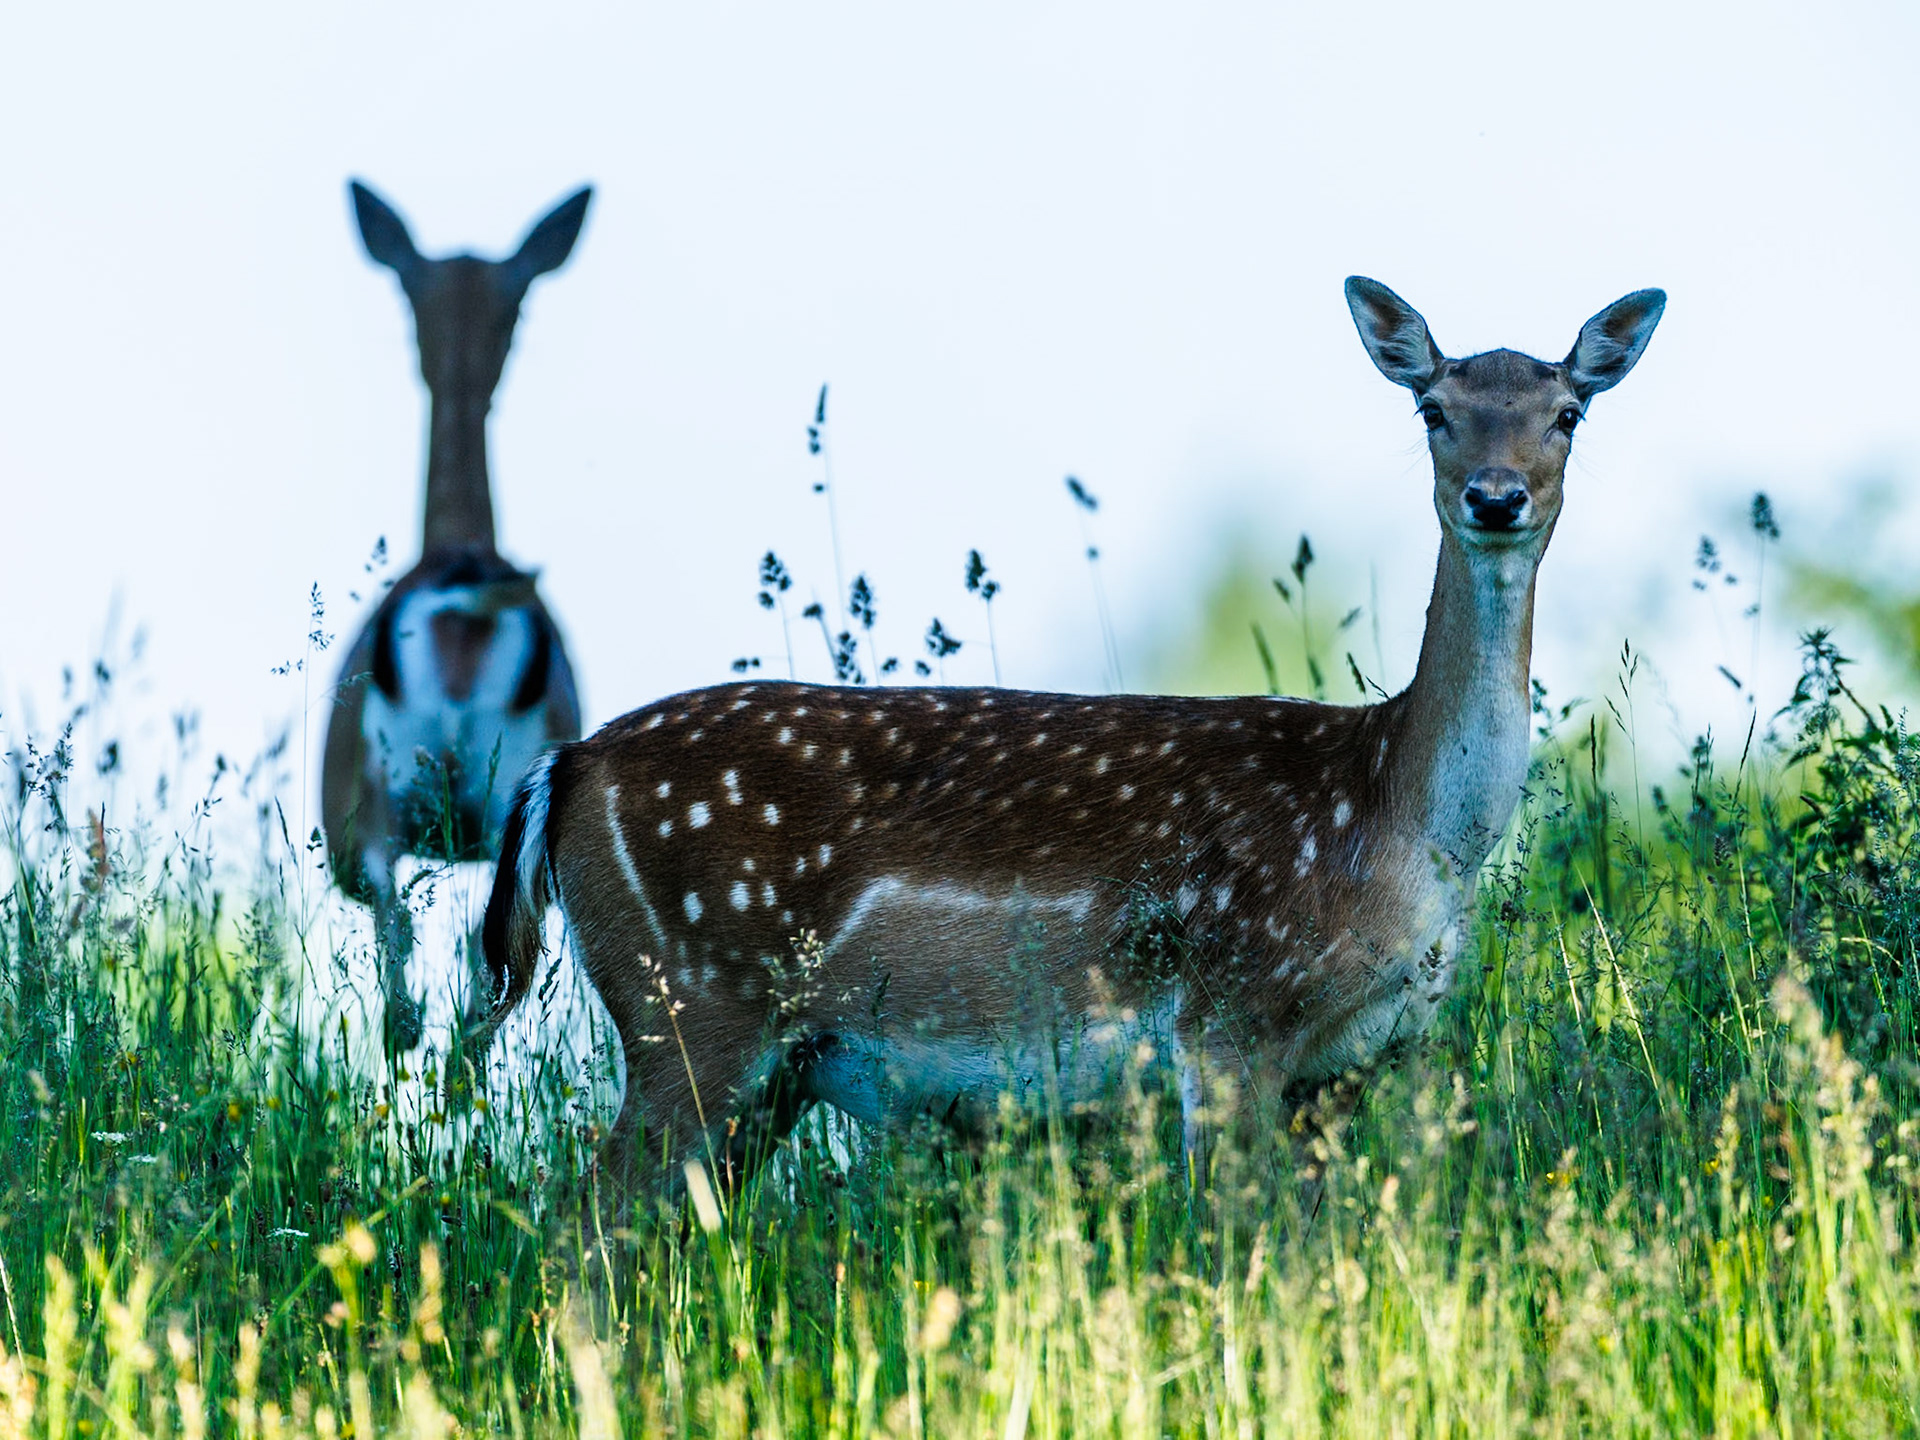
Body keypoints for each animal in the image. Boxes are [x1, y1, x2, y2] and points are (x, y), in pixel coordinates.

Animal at [467, 277, 1665, 1193]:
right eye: (1432, 408)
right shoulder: (1228, 1013)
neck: (1402, 825)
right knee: (588, 1221)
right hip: (689, 1000)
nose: (1496, 497)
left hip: (769, 1068)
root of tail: (562, 769)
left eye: (1569, 412)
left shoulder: (1348, 1065)